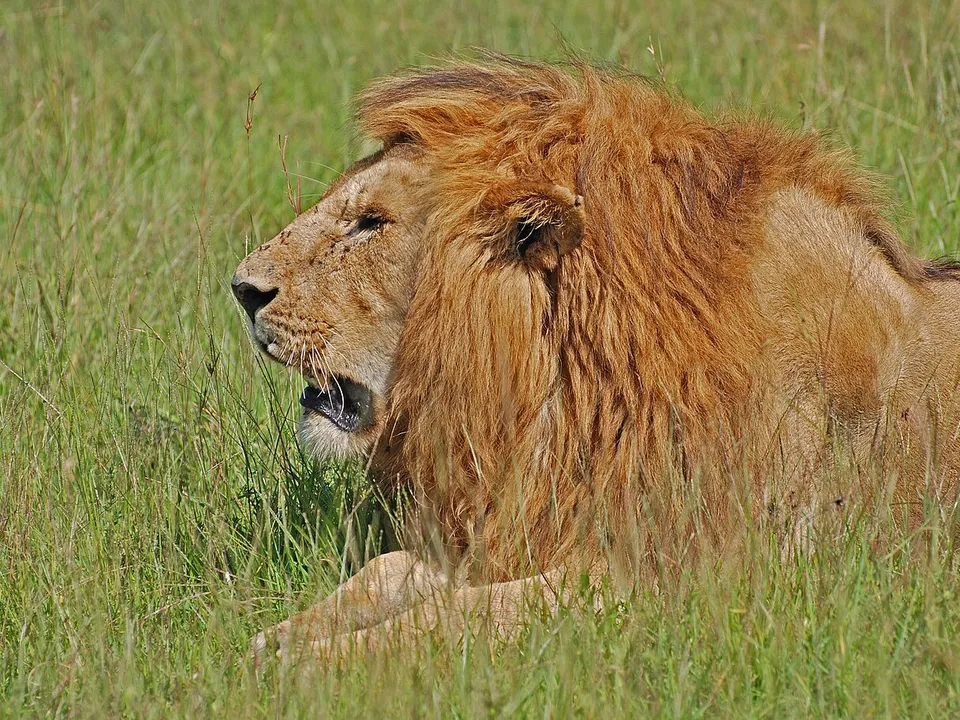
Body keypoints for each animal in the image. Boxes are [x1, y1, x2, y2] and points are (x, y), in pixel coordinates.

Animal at [232, 56, 960, 666]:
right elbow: (386, 569)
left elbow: (462, 613)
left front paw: (315, 662)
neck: (560, 392)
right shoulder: (531, 519)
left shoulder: (686, 573)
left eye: (371, 223)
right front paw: (283, 635)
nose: (241, 288)